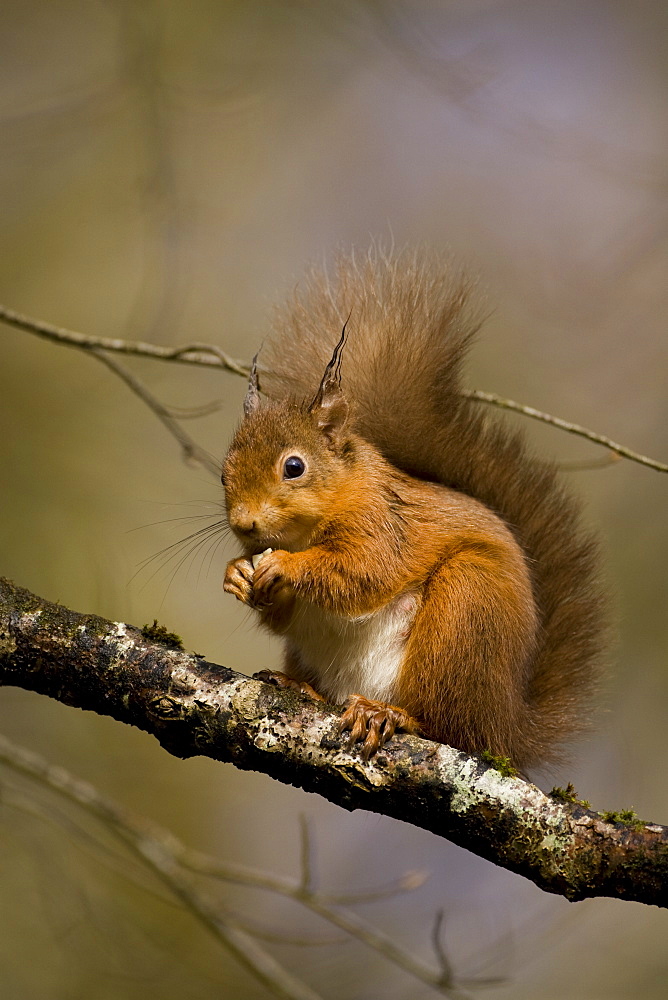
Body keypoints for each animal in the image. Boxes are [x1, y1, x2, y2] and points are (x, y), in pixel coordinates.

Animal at [220, 248, 604, 764]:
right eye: (223, 473)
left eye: (294, 467)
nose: (245, 523)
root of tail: (506, 728)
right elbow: (282, 618)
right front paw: (236, 574)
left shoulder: (384, 523)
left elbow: (364, 572)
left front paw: (284, 565)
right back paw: (300, 686)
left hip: (466, 608)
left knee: (447, 725)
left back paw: (387, 714)